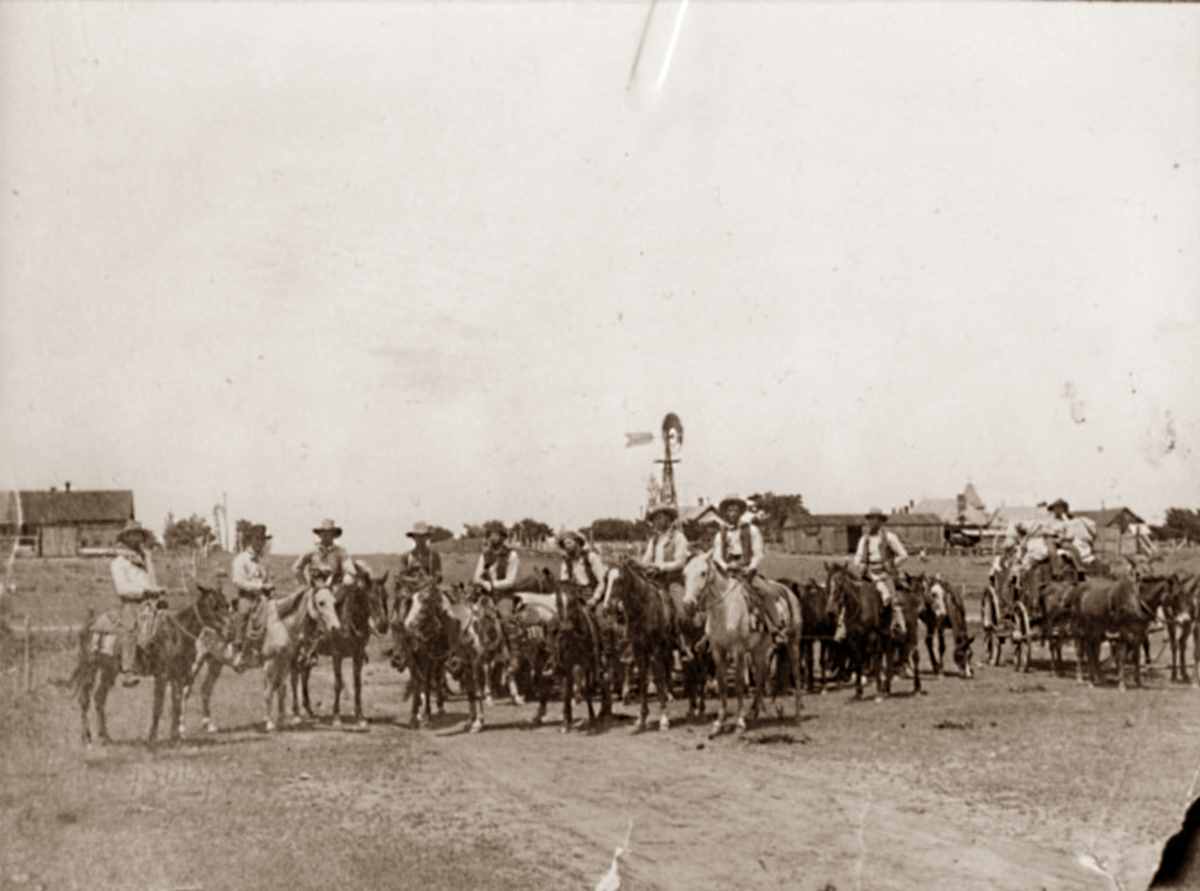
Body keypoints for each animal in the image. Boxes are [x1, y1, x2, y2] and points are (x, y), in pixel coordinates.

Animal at [69, 583, 229, 749]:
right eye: (213, 605)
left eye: (227, 604)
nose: (228, 629)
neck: (175, 635)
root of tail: (89, 625)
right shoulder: (162, 676)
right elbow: (158, 706)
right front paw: (153, 738)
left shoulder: (178, 676)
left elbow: (176, 705)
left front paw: (175, 738)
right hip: (90, 667)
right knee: (84, 700)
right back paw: (87, 739)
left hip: (109, 670)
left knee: (99, 698)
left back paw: (106, 738)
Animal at [289, 564, 386, 734]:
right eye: (371, 598)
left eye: (386, 597)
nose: (383, 625)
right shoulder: (337, 655)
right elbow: (338, 684)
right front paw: (336, 718)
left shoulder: (358, 655)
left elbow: (357, 684)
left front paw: (360, 718)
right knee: (294, 677)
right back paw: (296, 714)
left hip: (309, 653)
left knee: (304, 675)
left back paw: (309, 710)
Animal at [604, 561, 681, 734]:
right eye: (606, 579)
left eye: (619, 580)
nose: (606, 607)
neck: (643, 610)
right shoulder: (638, 649)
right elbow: (642, 679)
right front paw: (641, 719)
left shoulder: (655, 650)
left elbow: (658, 678)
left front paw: (664, 719)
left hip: (665, 646)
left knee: (667, 668)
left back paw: (670, 694)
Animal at [681, 554, 801, 734]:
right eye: (684, 574)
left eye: (703, 573)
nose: (688, 604)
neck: (725, 610)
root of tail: (788, 591)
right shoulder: (718, 650)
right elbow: (722, 683)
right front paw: (719, 723)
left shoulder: (737, 650)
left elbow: (738, 684)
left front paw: (739, 722)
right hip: (760, 649)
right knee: (761, 676)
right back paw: (755, 711)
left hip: (793, 643)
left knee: (795, 672)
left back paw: (797, 713)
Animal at [825, 564, 916, 706]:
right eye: (828, 584)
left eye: (840, 585)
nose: (830, 611)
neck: (860, 607)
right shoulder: (853, 640)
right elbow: (858, 662)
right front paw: (858, 693)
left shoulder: (873, 638)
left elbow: (876, 662)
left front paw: (878, 693)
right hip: (889, 640)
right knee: (890, 660)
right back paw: (887, 689)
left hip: (908, 636)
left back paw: (915, 688)